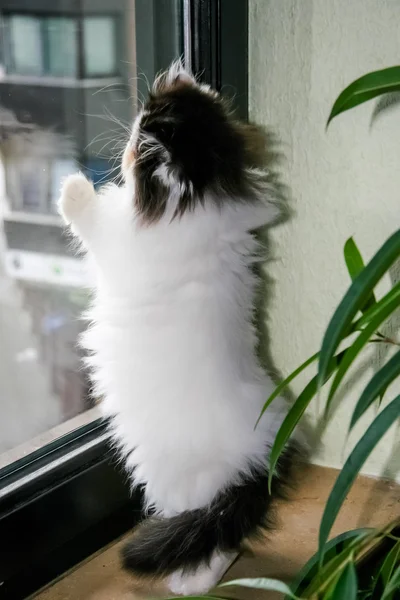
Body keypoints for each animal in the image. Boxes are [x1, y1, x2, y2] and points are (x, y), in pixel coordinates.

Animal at [57, 61, 298, 596]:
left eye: (140, 137)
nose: (129, 132)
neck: (204, 198)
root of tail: (261, 459)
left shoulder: (115, 244)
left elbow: (90, 216)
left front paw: (70, 186)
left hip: (177, 483)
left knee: (213, 539)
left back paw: (191, 584)